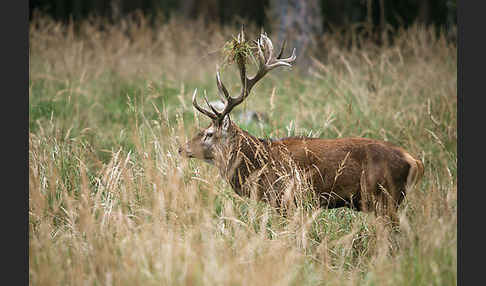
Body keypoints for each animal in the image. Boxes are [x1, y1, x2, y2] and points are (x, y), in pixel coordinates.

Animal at [178, 28, 422, 226]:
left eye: (209, 134)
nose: (181, 148)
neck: (260, 165)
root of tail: (415, 161)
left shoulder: (286, 199)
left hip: (384, 197)